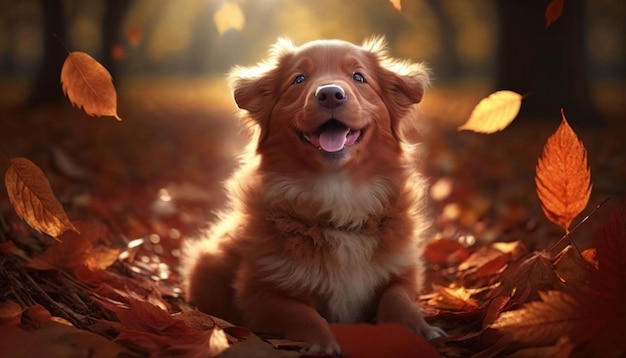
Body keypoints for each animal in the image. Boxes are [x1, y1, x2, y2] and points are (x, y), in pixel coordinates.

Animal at [180, 37, 444, 354]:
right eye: (299, 79)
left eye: (359, 77)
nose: (330, 94)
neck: (337, 191)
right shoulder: (260, 296)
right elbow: (304, 316)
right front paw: (324, 344)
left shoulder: (402, 271)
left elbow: (399, 298)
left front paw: (421, 329)